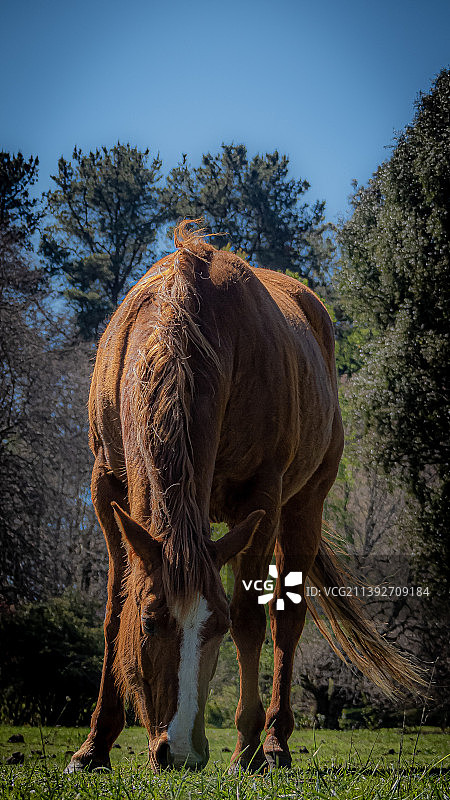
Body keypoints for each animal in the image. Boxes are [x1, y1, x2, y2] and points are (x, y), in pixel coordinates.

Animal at [64, 222, 422, 772]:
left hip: (303, 507)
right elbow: (112, 613)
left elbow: (251, 620)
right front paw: (94, 746)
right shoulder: (107, 492)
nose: (181, 753)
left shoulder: (262, 500)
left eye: (215, 628)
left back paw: (274, 740)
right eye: (150, 622)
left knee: (286, 620)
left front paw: (247, 748)